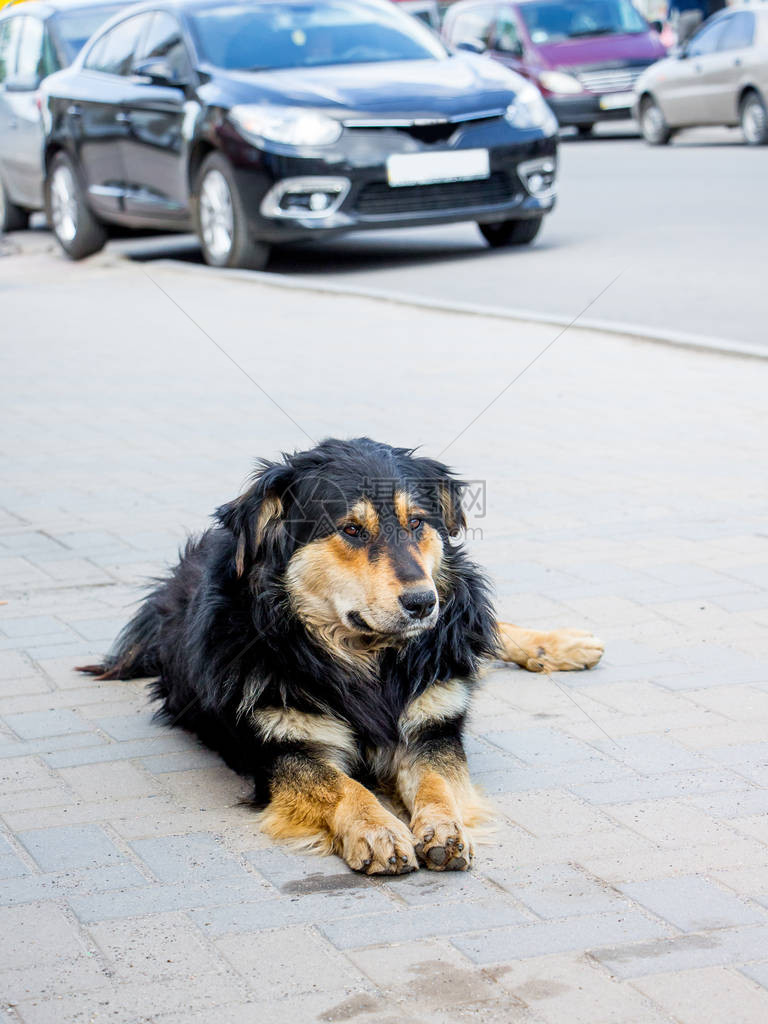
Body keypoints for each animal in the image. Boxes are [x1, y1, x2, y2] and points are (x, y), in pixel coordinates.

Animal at [79, 436, 606, 876]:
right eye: (352, 529)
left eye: (417, 522)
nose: (423, 603)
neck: (367, 657)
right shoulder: (284, 748)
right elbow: (342, 784)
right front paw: (378, 830)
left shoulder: (432, 727)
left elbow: (438, 782)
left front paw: (443, 828)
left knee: (486, 631)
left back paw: (563, 644)